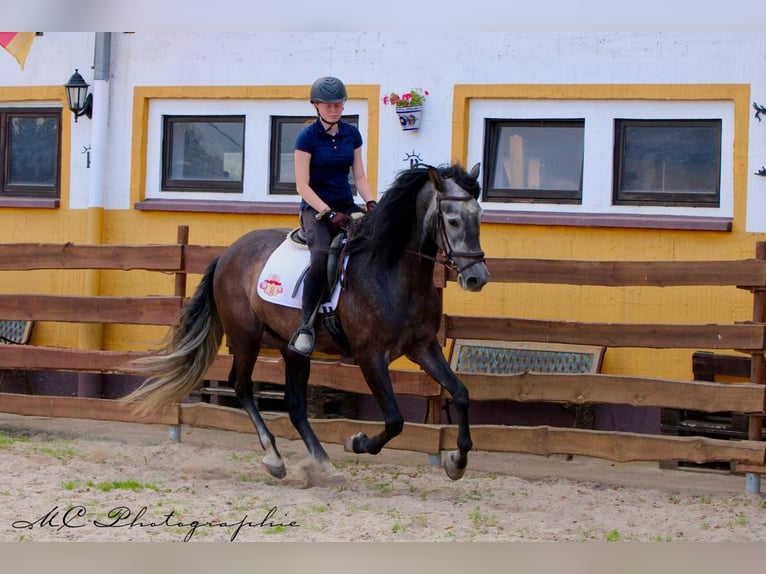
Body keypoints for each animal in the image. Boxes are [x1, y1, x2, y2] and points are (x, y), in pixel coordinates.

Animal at [123, 162, 489, 485]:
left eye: (479, 216)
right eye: (452, 220)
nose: (477, 278)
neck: (393, 271)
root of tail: (227, 253)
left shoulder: (422, 347)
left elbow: (461, 393)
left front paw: (456, 462)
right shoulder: (370, 356)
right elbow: (395, 420)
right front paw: (356, 442)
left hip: (291, 348)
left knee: (296, 405)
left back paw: (323, 467)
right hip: (245, 336)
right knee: (241, 386)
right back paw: (274, 458)